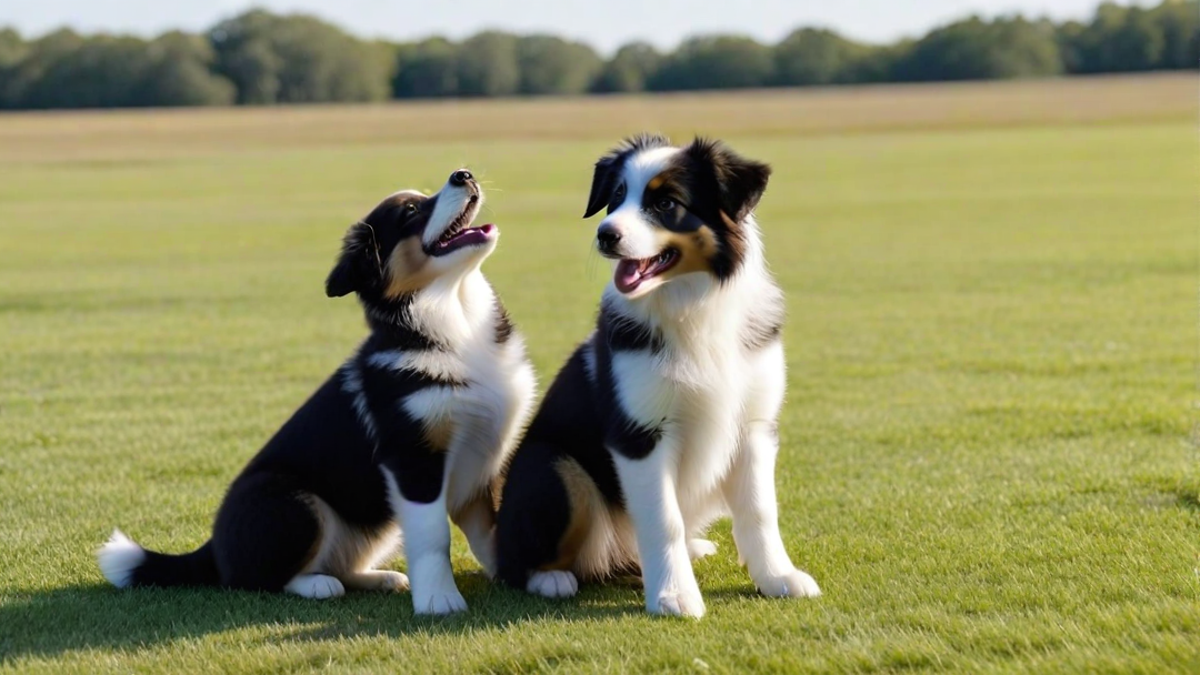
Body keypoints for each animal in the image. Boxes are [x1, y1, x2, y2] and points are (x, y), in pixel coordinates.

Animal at [96, 170, 537, 612]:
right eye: (411, 211)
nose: (463, 174)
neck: (452, 316)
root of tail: (211, 549)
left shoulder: (485, 458)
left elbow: (490, 528)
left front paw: (512, 574)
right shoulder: (412, 457)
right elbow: (433, 538)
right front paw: (440, 602)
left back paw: (379, 578)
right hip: (293, 502)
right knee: (255, 579)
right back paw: (318, 585)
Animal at [492, 135, 820, 614]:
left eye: (666, 203)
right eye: (615, 198)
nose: (605, 234)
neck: (691, 307)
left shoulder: (755, 424)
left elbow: (760, 509)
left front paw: (778, 576)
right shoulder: (640, 433)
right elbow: (663, 519)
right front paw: (674, 595)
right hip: (550, 464)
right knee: (515, 562)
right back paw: (550, 578)